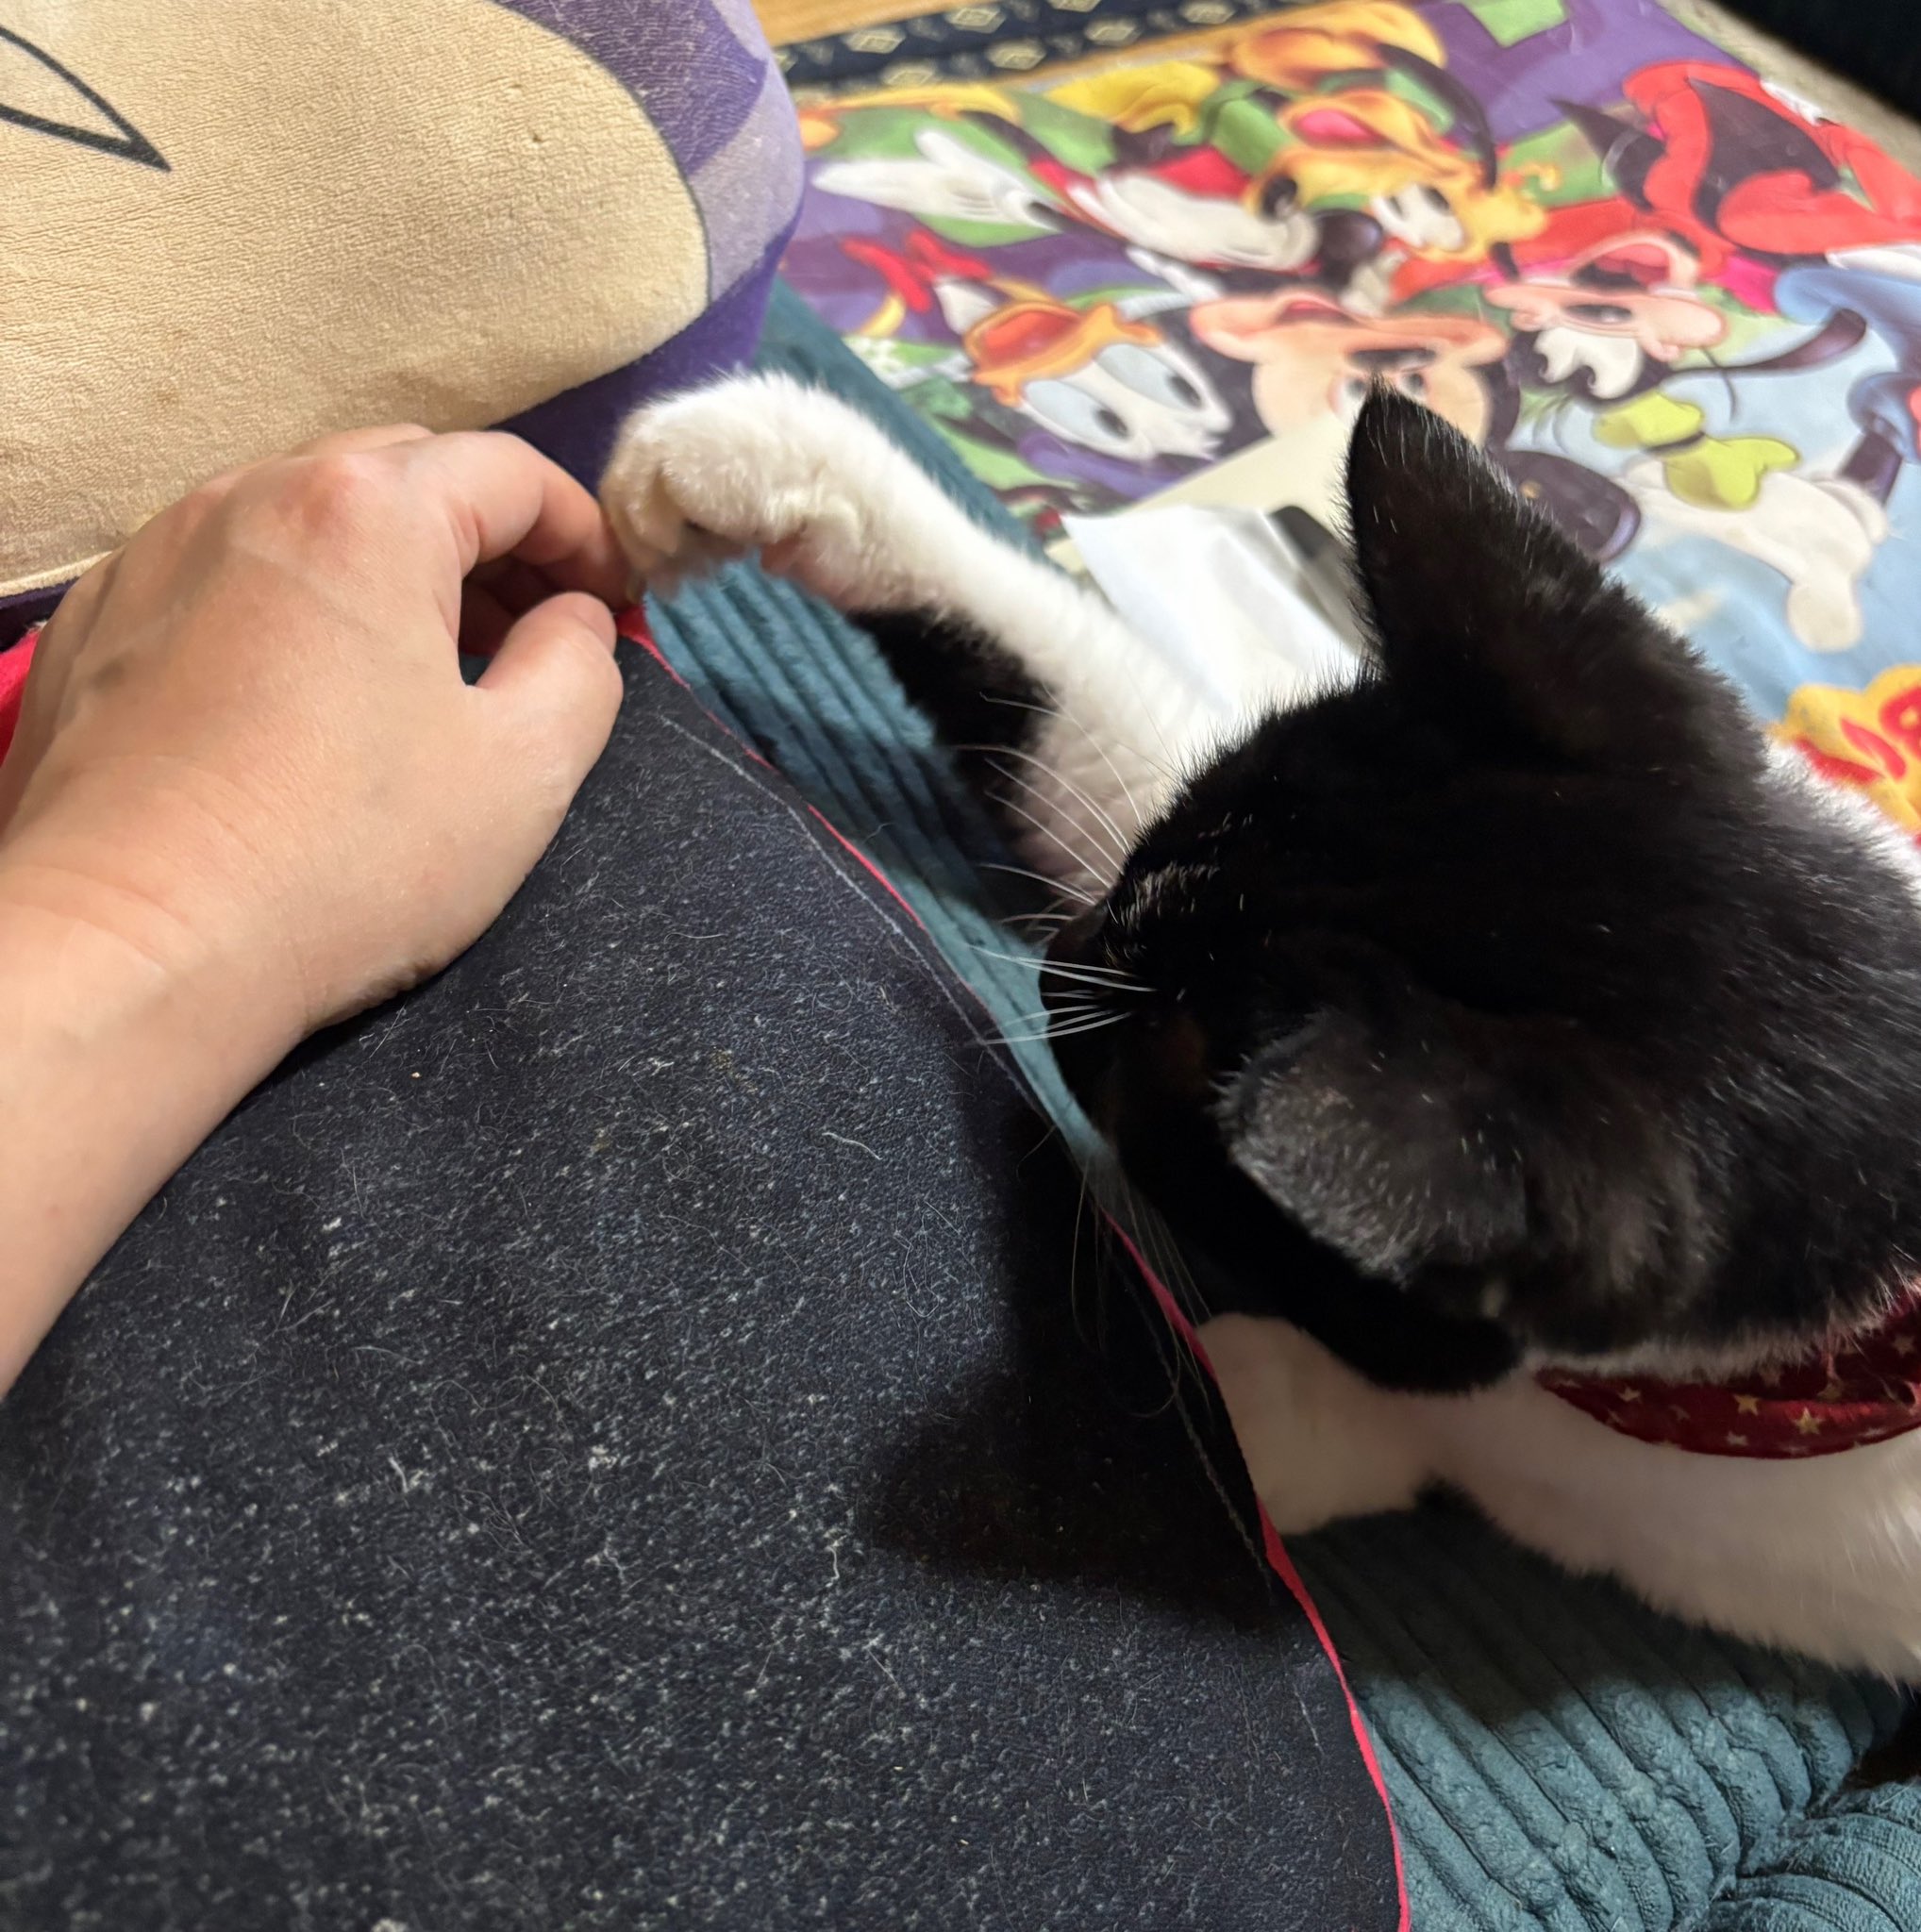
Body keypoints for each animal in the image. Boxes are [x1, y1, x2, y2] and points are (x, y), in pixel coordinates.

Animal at [601, 374, 1921, 1678]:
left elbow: (1232, 1440)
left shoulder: (1564, 1471)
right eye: (1163, 836)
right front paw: (756, 457)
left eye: (1159, 1074)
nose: (1060, 962)